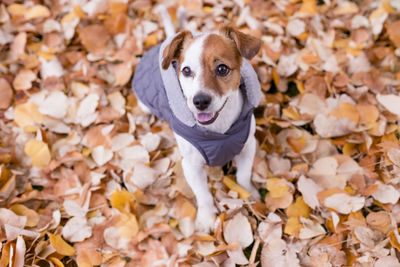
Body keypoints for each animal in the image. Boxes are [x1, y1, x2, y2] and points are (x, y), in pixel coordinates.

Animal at [132, 12, 262, 232]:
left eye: (222, 69)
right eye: (186, 71)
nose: (199, 101)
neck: (218, 134)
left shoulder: (247, 146)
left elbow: (243, 176)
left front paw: (249, 194)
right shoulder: (191, 166)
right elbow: (203, 194)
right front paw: (207, 218)